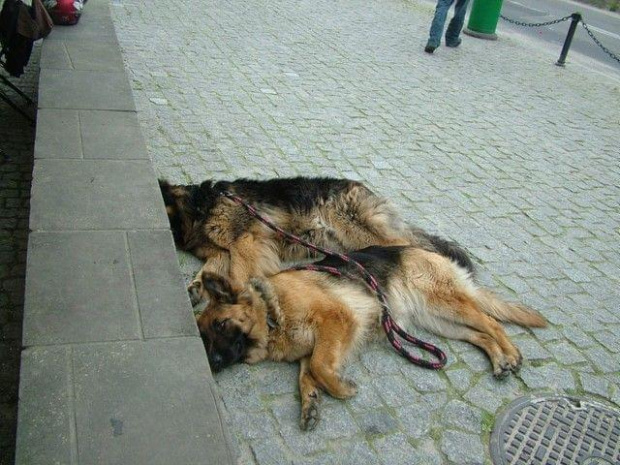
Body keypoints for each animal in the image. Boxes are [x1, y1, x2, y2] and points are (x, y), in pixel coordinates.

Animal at [157, 175, 472, 304]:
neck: (201, 205)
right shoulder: (221, 251)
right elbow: (210, 268)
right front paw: (197, 287)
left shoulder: (246, 239)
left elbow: (238, 271)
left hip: (355, 228)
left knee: (412, 245)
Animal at [197, 245, 548, 430]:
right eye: (204, 339)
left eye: (220, 325)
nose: (211, 363)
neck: (273, 312)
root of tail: (417, 247)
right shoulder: (312, 347)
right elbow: (307, 373)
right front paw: (310, 402)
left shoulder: (336, 319)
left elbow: (320, 367)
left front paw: (341, 389)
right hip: (440, 322)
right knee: (479, 335)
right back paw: (499, 359)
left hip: (444, 303)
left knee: (491, 322)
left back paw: (511, 354)